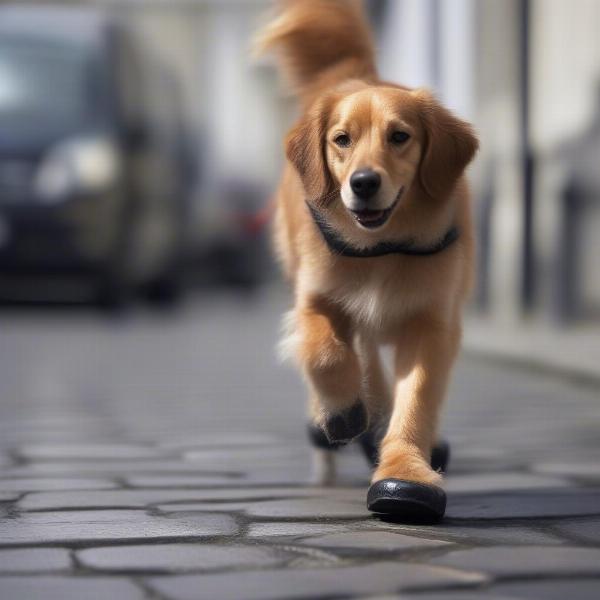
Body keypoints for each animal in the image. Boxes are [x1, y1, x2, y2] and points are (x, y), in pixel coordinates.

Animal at [256, 0, 478, 520]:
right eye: (342, 139)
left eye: (399, 136)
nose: (363, 183)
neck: (382, 248)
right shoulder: (315, 299)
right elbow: (325, 352)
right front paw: (341, 411)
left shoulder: (433, 321)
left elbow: (415, 399)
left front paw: (406, 474)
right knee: (356, 353)